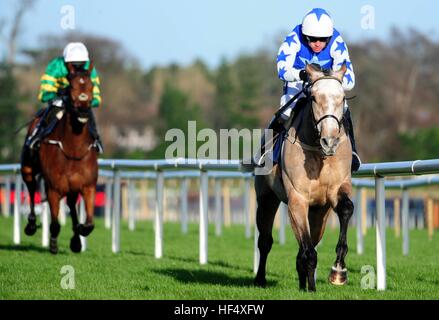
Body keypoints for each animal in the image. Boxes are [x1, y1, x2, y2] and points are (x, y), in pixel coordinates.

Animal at [21, 61, 99, 254]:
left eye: (91, 86)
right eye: (71, 87)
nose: (83, 111)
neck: (73, 151)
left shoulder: (88, 186)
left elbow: (89, 224)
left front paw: (79, 232)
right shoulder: (54, 189)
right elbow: (55, 223)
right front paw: (53, 244)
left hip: (72, 187)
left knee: (71, 203)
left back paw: (76, 239)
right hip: (27, 169)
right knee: (31, 189)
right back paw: (31, 225)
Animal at [254, 61, 354, 292]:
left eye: (342, 98)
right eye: (314, 97)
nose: (330, 141)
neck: (319, 153)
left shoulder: (335, 192)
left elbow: (346, 209)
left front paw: (338, 271)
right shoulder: (297, 199)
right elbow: (308, 250)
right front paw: (313, 286)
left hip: (319, 212)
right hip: (266, 199)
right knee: (265, 241)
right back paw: (260, 279)